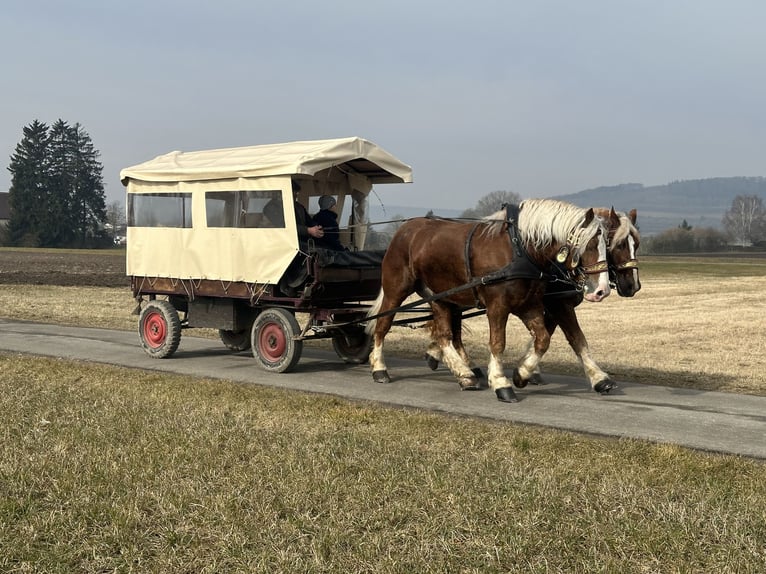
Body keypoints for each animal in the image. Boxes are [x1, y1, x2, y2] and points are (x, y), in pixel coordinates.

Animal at [366, 198, 612, 404]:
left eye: (607, 245)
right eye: (590, 244)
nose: (602, 290)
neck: (520, 249)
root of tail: (405, 229)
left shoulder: (530, 305)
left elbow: (544, 340)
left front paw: (522, 373)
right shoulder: (498, 306)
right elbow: (498, 343)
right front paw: (501, 382)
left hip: (440, 297)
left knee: (445, 335)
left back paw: (465, 374)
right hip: (396, 290)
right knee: (383, 326)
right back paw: (379, 369)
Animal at [426, 209, 640, 394]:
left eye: (636, 245)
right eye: (619, 245)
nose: (633, 286)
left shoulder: (548, 305)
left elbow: (552, 335)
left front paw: (528, 369)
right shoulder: (558, 304)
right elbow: (575, 337)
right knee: (452, 327)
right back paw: (461, 365)